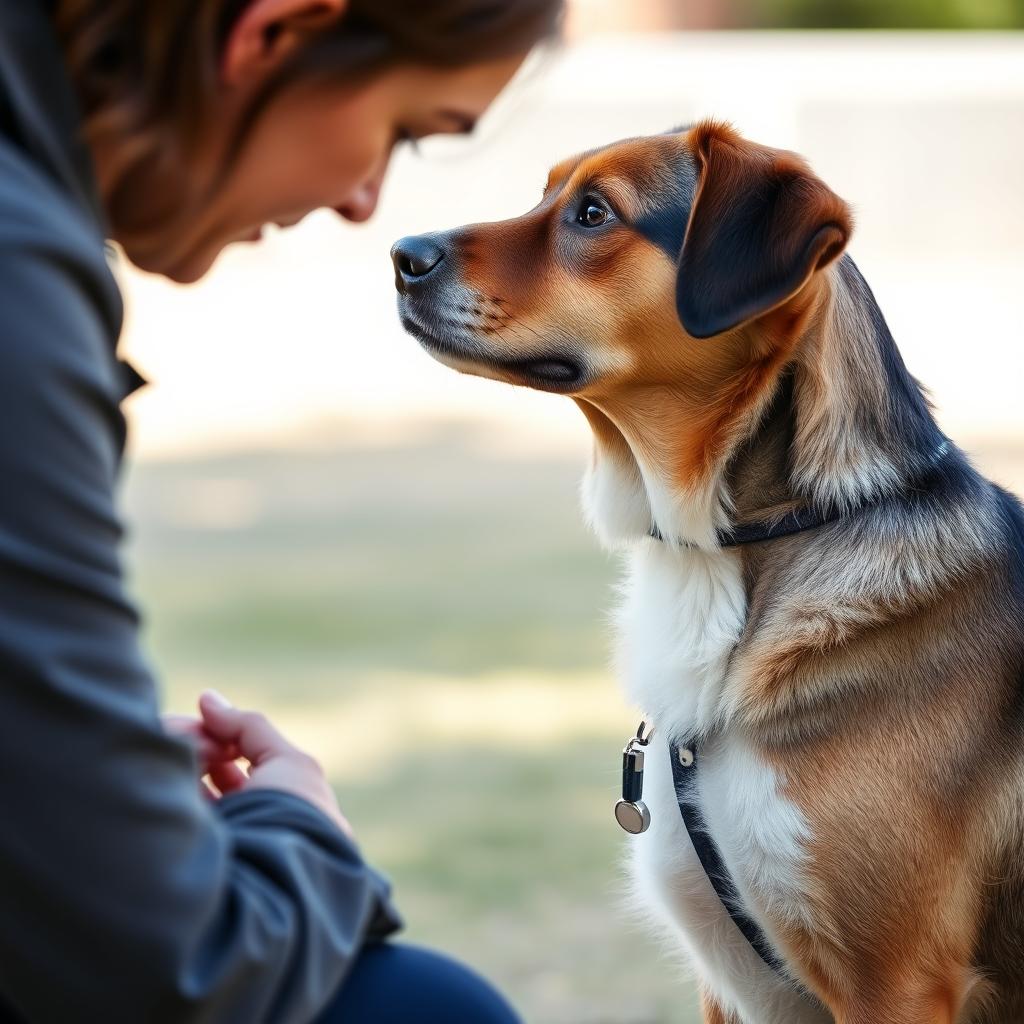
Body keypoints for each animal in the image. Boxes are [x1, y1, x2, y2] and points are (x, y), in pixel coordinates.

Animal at [389, 121, 1024, 1024]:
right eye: (547, 193)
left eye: (592, 213)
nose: (400, 255)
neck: (717, 557)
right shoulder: (732, 988)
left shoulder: (897, 982)